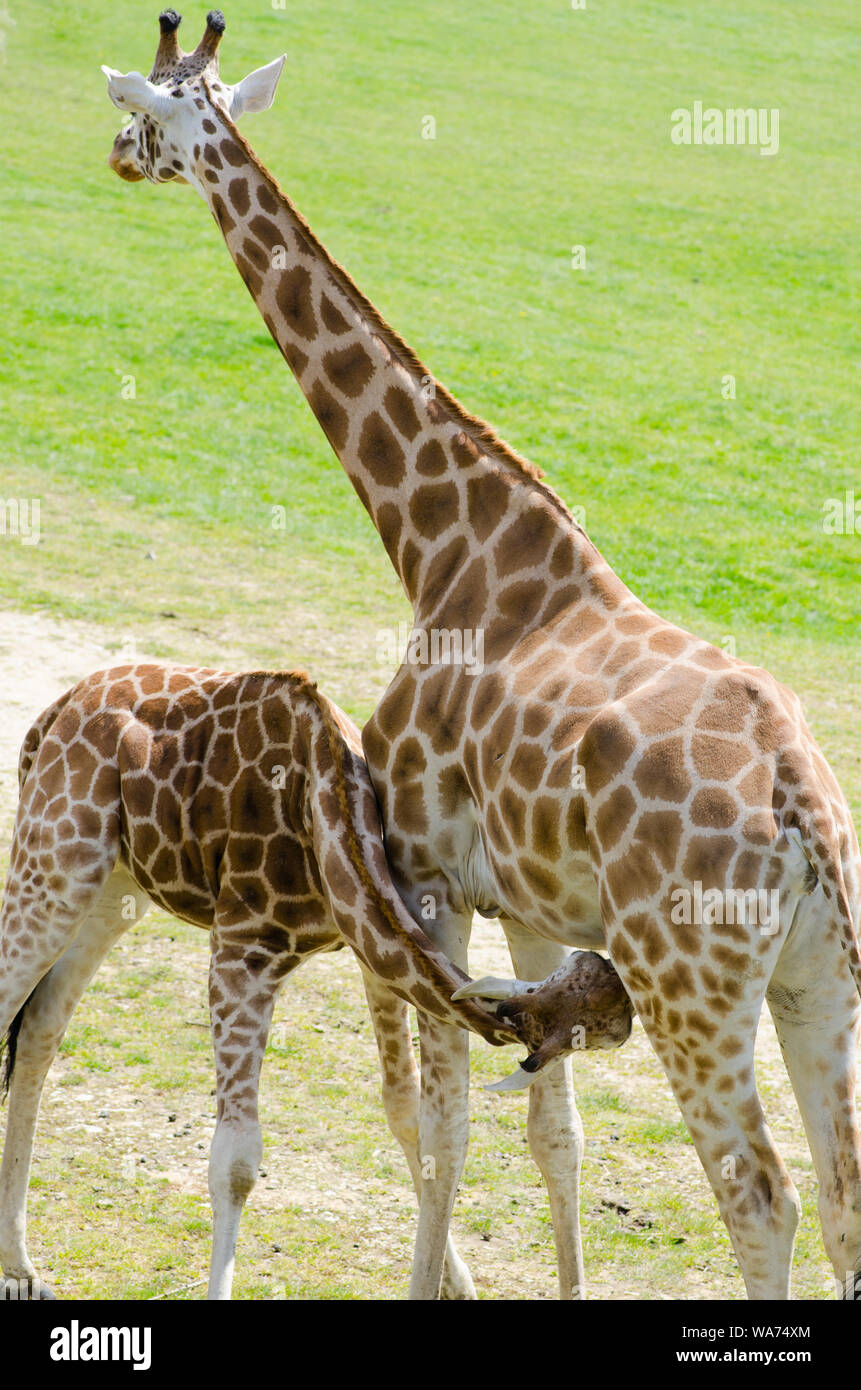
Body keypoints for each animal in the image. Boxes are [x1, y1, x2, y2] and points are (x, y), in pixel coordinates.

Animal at [0, 661, 625, 1301]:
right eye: (607, 1032)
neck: (326, 811)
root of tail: (55, 712)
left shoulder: (371, 949)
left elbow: (402, 1106)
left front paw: (458, 1282)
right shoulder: (242, 949)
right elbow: (236, 1161)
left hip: (116, 885)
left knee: (41, 1023)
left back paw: (23, 1268)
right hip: (57, 856)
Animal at [106, 8, 861, 1301]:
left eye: (150, 112)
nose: (115, 155)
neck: (440, 545)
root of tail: (802, 804)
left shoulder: (425, 871)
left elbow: (449, 1124)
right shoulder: (532, 906)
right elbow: (554, 1135)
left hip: (694, 980)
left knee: (762, 1198)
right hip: (820, 976)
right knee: (845, 1192)